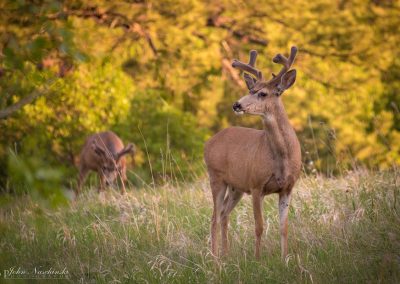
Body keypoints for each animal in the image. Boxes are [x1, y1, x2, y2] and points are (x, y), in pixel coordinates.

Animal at [205, 46, 302, 260]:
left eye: (263, 93)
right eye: (250, 90)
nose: (237, 105)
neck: (281, 159)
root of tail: (208, 142)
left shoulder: (287, 188)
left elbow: (284, 228)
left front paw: (285, 260)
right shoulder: (257, 185)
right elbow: (259, 226)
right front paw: (258, 260)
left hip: (236, 187)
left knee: (224, 214)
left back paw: (226, 255)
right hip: (216, 177)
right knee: (214, 217)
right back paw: (215, 260)